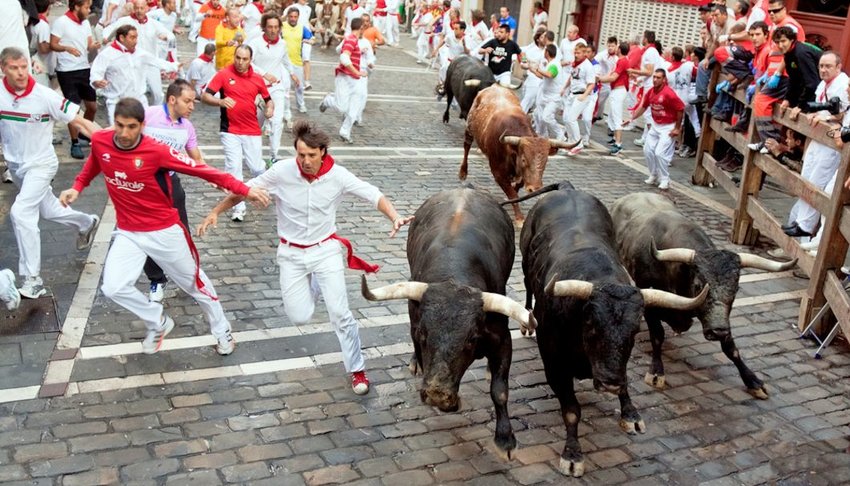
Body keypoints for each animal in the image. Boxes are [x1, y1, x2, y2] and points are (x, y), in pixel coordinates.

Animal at [360, 188, 532, 462]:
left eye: (471, 339)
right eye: (423, 334)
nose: (437, 394)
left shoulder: (503, 338)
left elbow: (500, 390)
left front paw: (505, 440)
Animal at [458, 84, 576, 223]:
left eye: (546, 160)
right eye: (524, 159)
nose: (535, 188)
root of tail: (495, 86)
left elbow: (517, 187)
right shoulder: (498, 173)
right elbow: (512, 194)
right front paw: (519, 218)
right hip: (469, 128)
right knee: (466, 146)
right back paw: (463, 172)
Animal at [516, 186, 708, 478]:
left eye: (635, 329)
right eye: (591, 323)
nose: (608, 382)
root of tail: (567, 188)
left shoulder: (620, 363)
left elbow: (626, 381)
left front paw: (630, 414)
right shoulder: (554, 364)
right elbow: (571, 410)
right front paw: (572, 455)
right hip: (526, 266)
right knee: (527, 285)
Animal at [608, 193, 796, 398]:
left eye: (736, 289)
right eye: (699, 286)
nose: (718, 331)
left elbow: (731, 348)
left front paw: (752, 380)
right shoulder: (648, 296)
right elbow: (657, 335)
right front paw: (656, 372)